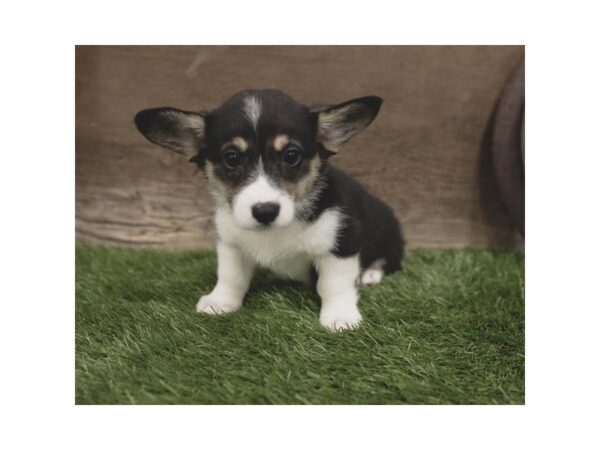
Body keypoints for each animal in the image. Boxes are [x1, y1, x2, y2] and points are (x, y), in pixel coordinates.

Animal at [134, 89, 406, 330]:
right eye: (231, 158)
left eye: (291, 155)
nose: (265, 211)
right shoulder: (231, 244)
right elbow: (230, 276)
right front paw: (220, 302)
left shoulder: (341, 244)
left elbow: (333, 285)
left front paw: (340, 317)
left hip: (388, 235)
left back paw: (369, 274)